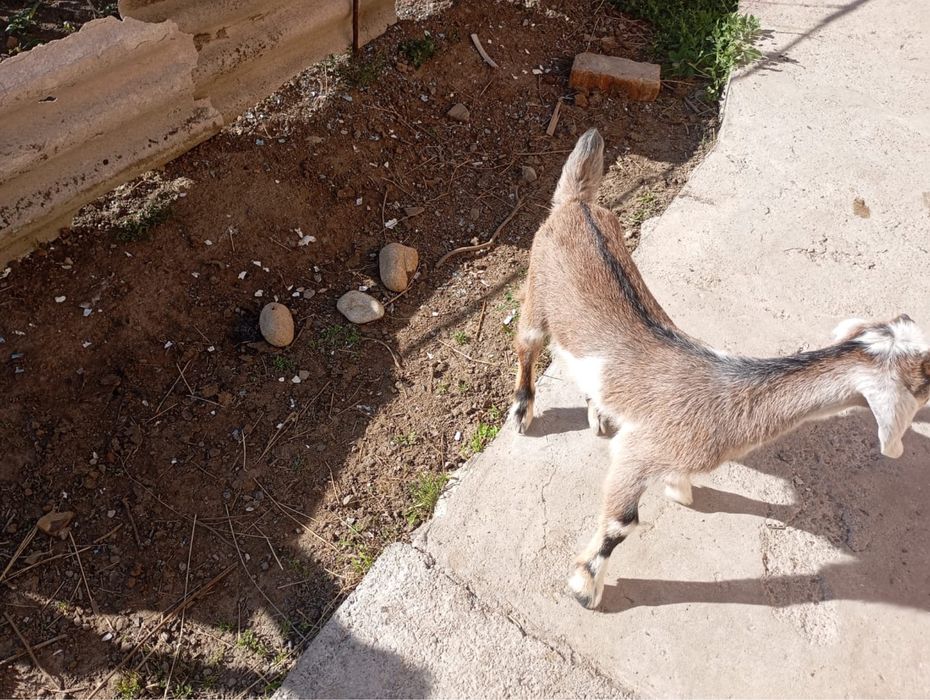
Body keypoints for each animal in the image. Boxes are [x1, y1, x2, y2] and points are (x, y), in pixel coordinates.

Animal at [509, 128, 930, 610]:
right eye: (926, 376)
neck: (730, 391)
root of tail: (576, 203)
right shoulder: (639, 453)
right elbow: (621, 522)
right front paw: (585, 586)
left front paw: (678, 489)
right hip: (536, 288)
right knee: (527, 345)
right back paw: (522, 411)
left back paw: (598, 411)